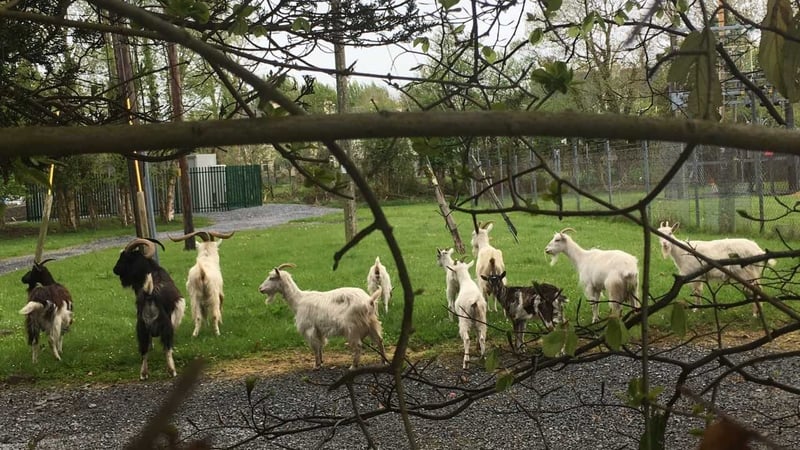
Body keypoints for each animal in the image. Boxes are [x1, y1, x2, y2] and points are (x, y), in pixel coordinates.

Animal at [113, 238, 186, 380]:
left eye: (124, 257)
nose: (115, 270)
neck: (152, 270)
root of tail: (150, 294)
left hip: (141, 328)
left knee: (144, 350)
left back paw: (143, 374)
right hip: (166, 327)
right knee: (167, 348)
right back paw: (172, 371)